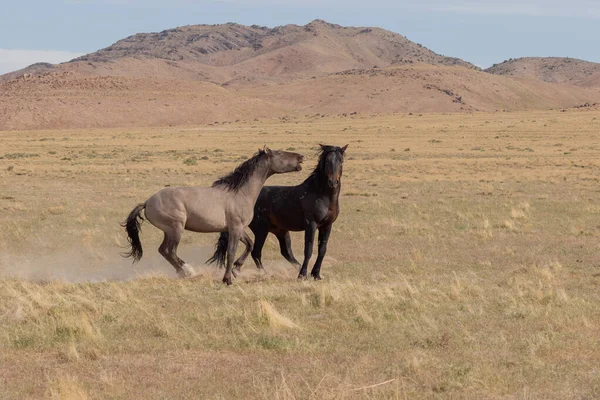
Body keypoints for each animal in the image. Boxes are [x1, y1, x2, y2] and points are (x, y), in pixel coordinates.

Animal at [120, 148, 304, 284]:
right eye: (280, 153)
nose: (301, 157)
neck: (239, 193)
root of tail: (147, 202)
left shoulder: (237, 229)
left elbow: (250, 245)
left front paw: (237, 269)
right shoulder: (235, 228)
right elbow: (231, 252)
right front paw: (227, 279)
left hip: (169, 231)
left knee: (164, 251)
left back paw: (185, 272)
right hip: (176, 229)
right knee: (169, 250)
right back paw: (189, 271)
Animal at [209, 145, 346, 280]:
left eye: (341, 161)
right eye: (327, 161)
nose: (333, 182)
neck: (321, 195)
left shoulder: (327, 226)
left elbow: (322, 250)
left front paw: (316, 274)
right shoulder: (311, 225)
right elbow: (309, 250)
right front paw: (303, 275)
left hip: (280, 231)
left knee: (286, 253)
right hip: (262, 230)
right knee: (256, 252)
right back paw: (261, 273)